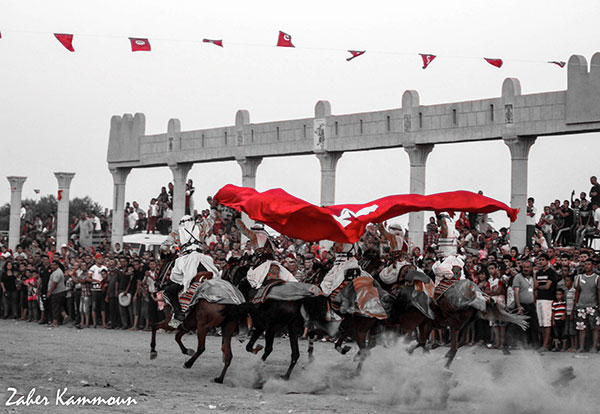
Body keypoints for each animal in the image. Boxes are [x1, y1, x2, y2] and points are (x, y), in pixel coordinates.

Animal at [151, 254, 252, 384]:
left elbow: (154, 326)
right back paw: (219, 378)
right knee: (228, 356)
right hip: (226, 330)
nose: (156, 284)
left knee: (202, 348)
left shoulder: (170, 322)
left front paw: (153, 351)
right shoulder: (188, 324)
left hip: (203, 327)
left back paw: (188, 363)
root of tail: (231, 301)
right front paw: (187, 350)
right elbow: (177, 337)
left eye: (158, 267)